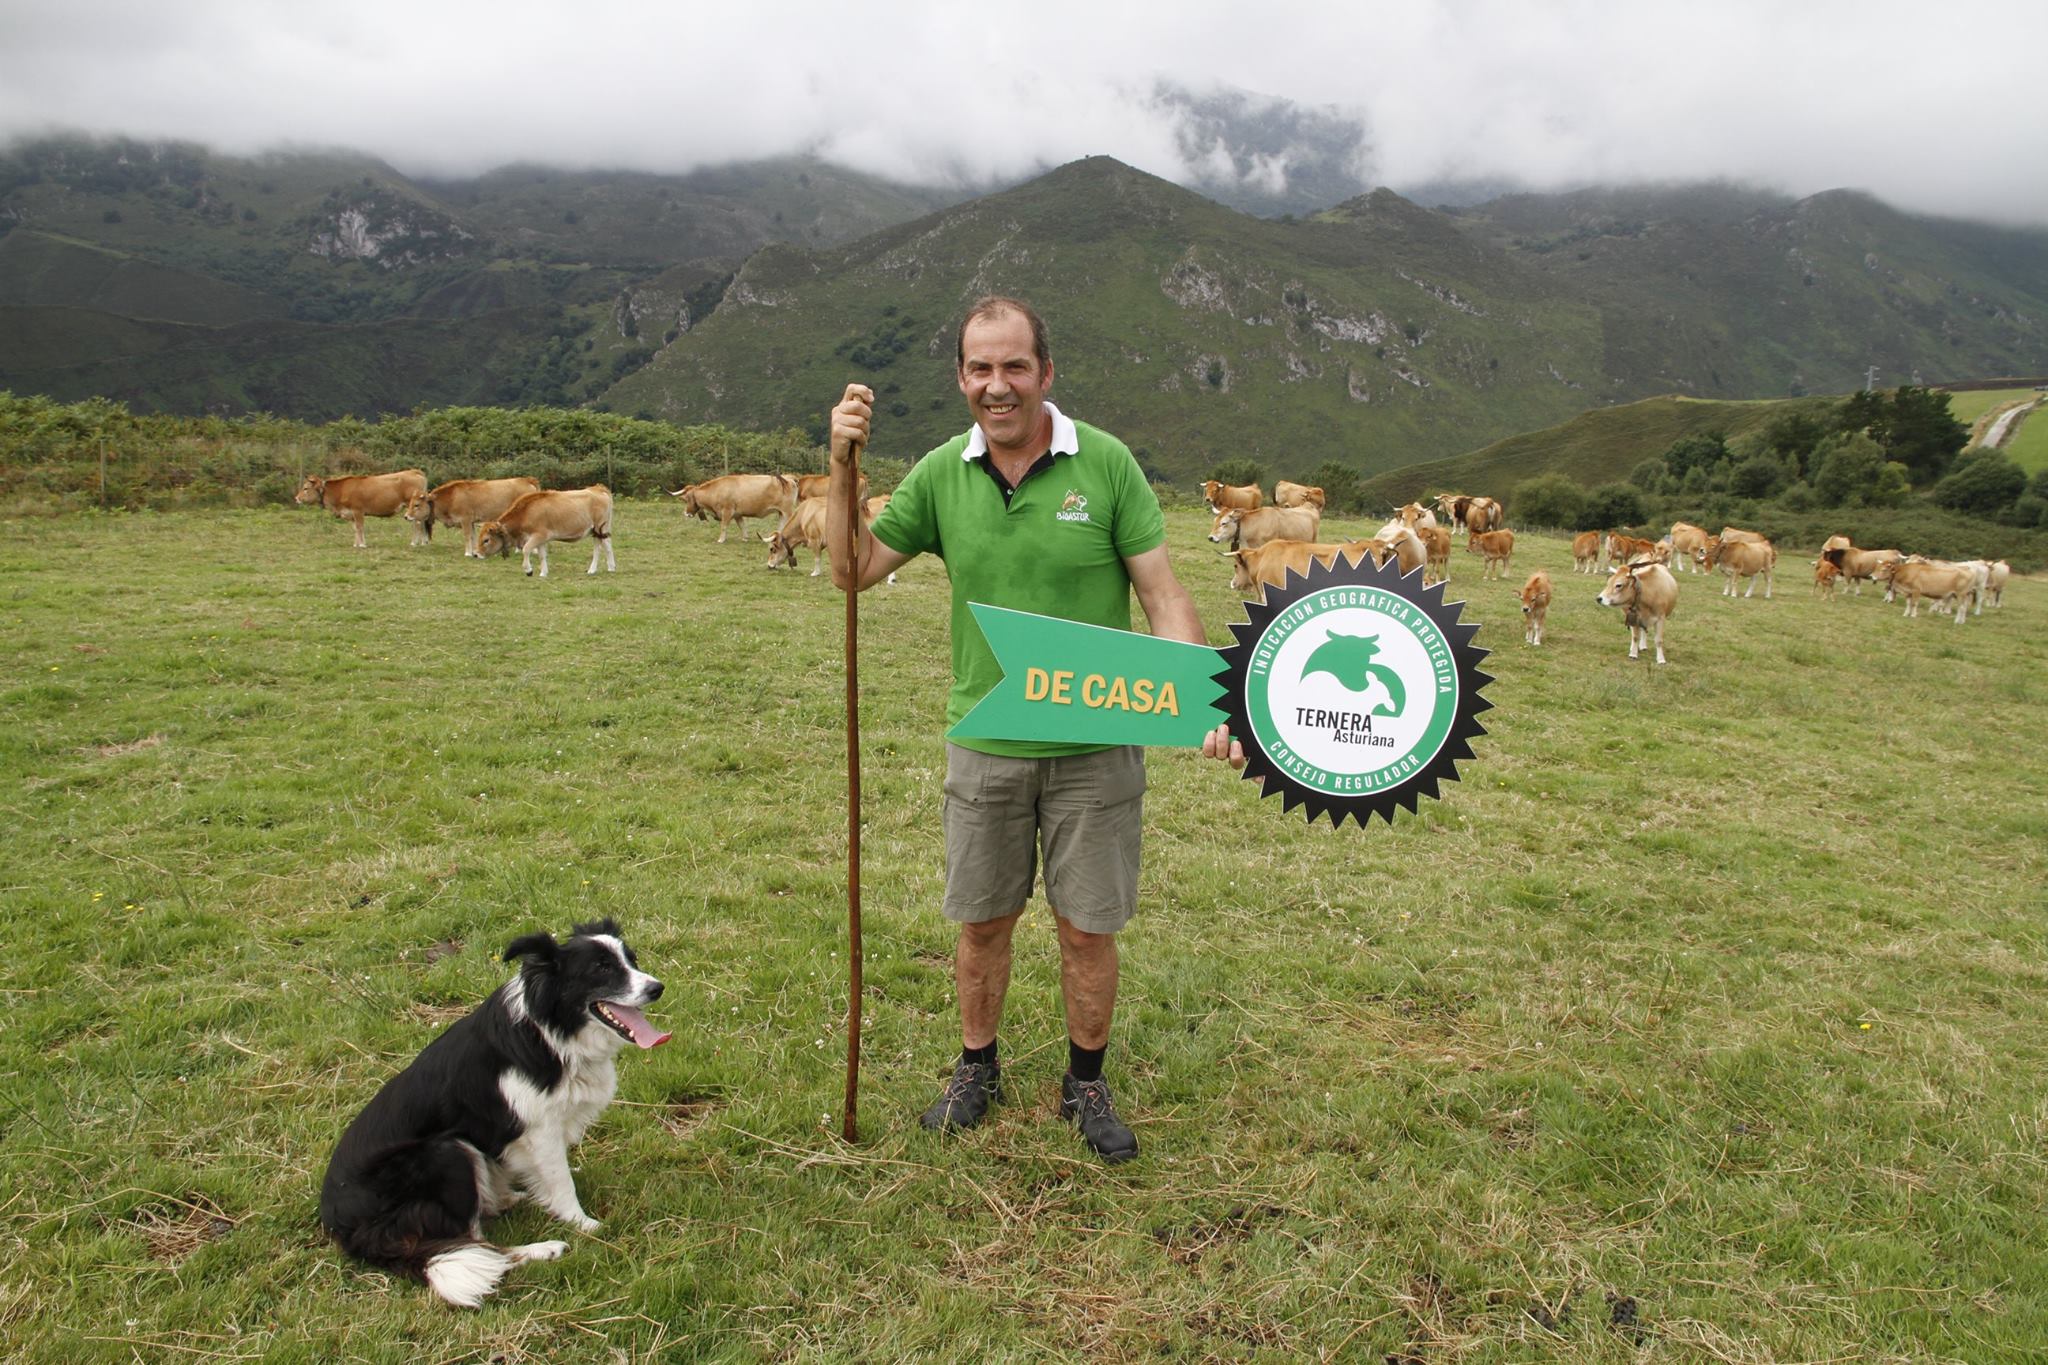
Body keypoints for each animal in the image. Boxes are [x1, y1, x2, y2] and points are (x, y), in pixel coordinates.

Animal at [294, 470, 430, 548]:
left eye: (305, 488)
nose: (296, 498)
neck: (341, 490)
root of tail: (413, 471)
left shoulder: (358, 511)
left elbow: (360, 527)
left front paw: (362, 544)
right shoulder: (351, 514)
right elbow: (355, 528)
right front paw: (356, 544)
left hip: (412, 506)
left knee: (417, 523)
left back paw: (415, 543)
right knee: (422, 522)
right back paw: (424, 542)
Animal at [399, 478, 540, 556]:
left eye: (416, 505)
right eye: (410, 504)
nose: (406, 516)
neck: (452, 497)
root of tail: (526, 480)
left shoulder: (465, 520)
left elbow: (467, 535)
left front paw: (467, 553)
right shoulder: (471, 522)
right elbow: (473, 536)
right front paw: (474, 551)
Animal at [475, 485, 610, 577]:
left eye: (486, 540)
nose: (476, 554)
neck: (526, 513)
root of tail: (598, 489)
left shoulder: (538, 536)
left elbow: (526, 550)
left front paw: (528, 570)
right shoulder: (541, 539)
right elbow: (542, 555)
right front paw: (543, 573)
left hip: (598, 529)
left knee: (600, 548)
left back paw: (594, 569)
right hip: (599, 531)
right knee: (607, 546)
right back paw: (610, 567)